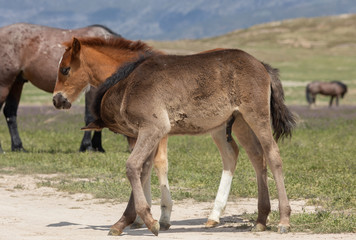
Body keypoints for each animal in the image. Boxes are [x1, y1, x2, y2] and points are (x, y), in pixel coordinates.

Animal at [0, 23, 120, 154]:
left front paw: (98, 147)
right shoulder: (92, 90)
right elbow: (90, 115)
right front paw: (87, 146)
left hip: (17, 82)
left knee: (10, 112)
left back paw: (18, 147)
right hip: (5, 83)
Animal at [52, 37, 296, 234]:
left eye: (65, 69)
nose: (57, 99)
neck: (128, 85)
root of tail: (262, 65)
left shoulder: (153, 129)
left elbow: (133, 166)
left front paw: (150, 220)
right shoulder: (149, 132)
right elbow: (143, 169)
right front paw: (128, 220)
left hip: (255, 116)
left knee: (272, 155)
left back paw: (283, 220)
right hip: (239, 121)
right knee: (255, 156)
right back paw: (260, 219)